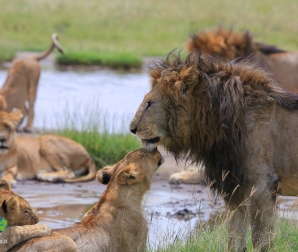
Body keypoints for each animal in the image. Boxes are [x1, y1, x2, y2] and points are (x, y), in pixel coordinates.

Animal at [131, 50, 298, 250]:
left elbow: (261, 242)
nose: (132, 129)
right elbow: (234, 240)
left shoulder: (262, 187)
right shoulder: (235, 191)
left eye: (149, 103)